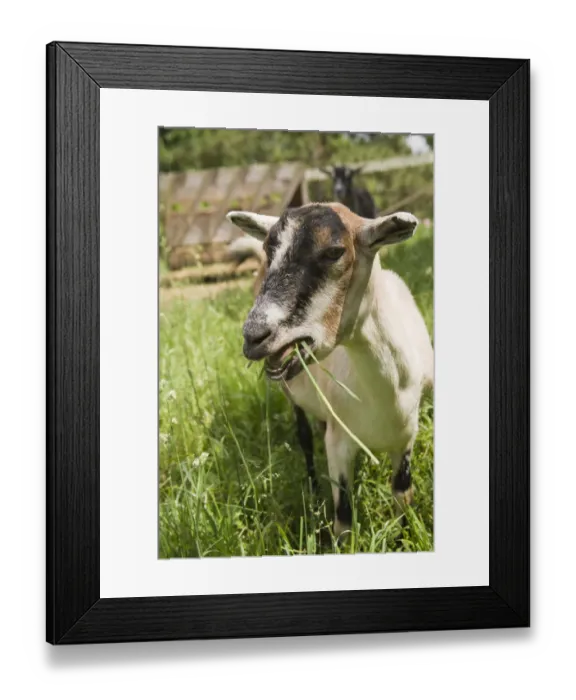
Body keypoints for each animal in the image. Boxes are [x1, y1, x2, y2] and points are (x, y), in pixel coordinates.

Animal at [227, 202, 433, 536]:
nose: (254, 336)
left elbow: (403, 495)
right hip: (291, 395)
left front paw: (403, 536)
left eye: (334, 251)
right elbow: (344, 517)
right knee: (305, 438)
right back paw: (311, 489)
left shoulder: (406, 437)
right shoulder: (338, 444)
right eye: (269, 249)